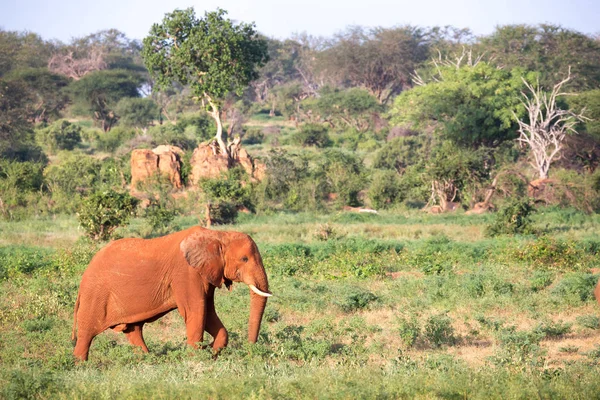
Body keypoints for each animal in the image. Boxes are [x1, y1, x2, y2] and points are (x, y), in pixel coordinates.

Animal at [69, 227, 272, 360]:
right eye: (244, 259)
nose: (250, 350)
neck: (218, 235)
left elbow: (209, 314)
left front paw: (210, 352)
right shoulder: (186, 273)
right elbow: (196, 311)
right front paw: (195, 358)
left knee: (133, 330)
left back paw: (148, 361)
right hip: (95, 294)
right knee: (86, 334)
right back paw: (80, 366)